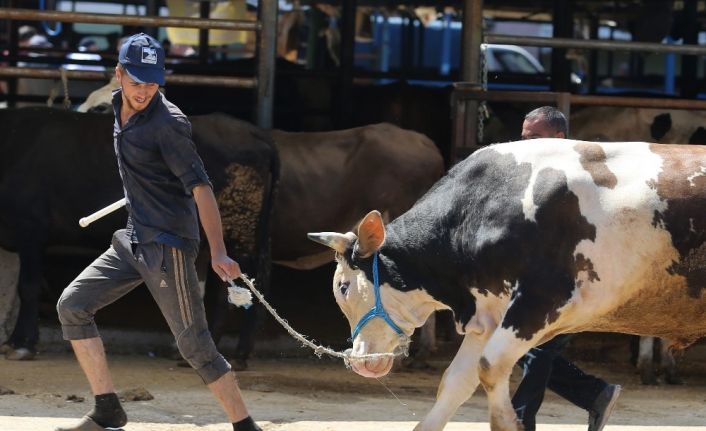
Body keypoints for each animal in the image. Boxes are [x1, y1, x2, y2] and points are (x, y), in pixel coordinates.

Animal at [310, 140, 704, 430]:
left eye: (343, 287)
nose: (361, 361)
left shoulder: (540, 303)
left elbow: (490, 367)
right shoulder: (488, 314)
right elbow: (454, 382)